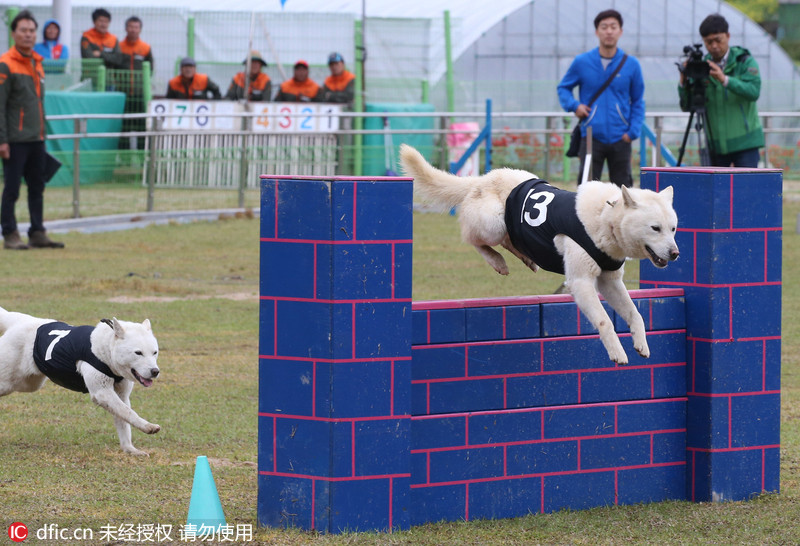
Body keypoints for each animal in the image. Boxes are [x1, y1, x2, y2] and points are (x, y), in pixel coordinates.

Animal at [0, 306, 162, 454]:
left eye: (155, 352)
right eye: (138, 353)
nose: (155, 372)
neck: (105, 351)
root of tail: (20, 321)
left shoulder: (121, 395)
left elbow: (124, 419)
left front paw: (129, 449)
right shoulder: (102, 393)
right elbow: (129, 413)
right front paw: (148, 427)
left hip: (29, 384)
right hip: (9, 381)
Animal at [398, 147, 676, 364]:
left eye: (673, 228)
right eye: (655, 228)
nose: (675, 254)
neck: (606, 218)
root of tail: (482, 179)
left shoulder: (610, 282)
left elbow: (635, 313)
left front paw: (641, 343)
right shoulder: (581, 283)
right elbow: (604, 321)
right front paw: (617, 352)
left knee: (509, 241)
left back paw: (527, 258)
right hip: (493, 223)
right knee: (472, 238)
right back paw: (497, 261)